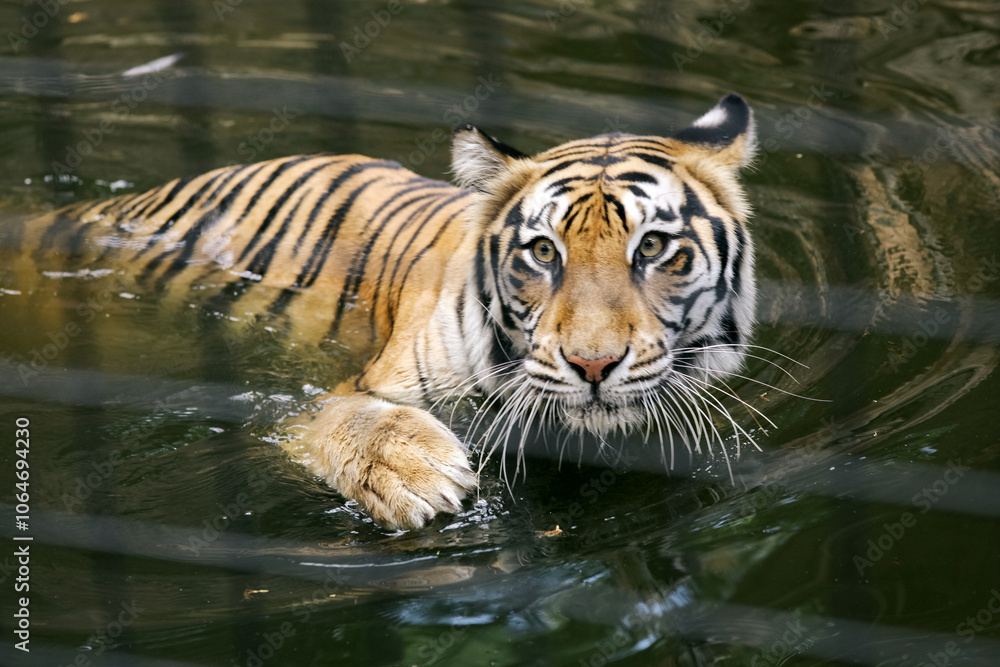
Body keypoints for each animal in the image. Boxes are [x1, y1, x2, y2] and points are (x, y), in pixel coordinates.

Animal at [9, 95, 756, 532]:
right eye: (544, 251)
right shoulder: (335, 396)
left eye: (652, 247)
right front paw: (418, 477)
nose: (593, 364)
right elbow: (359, 420)